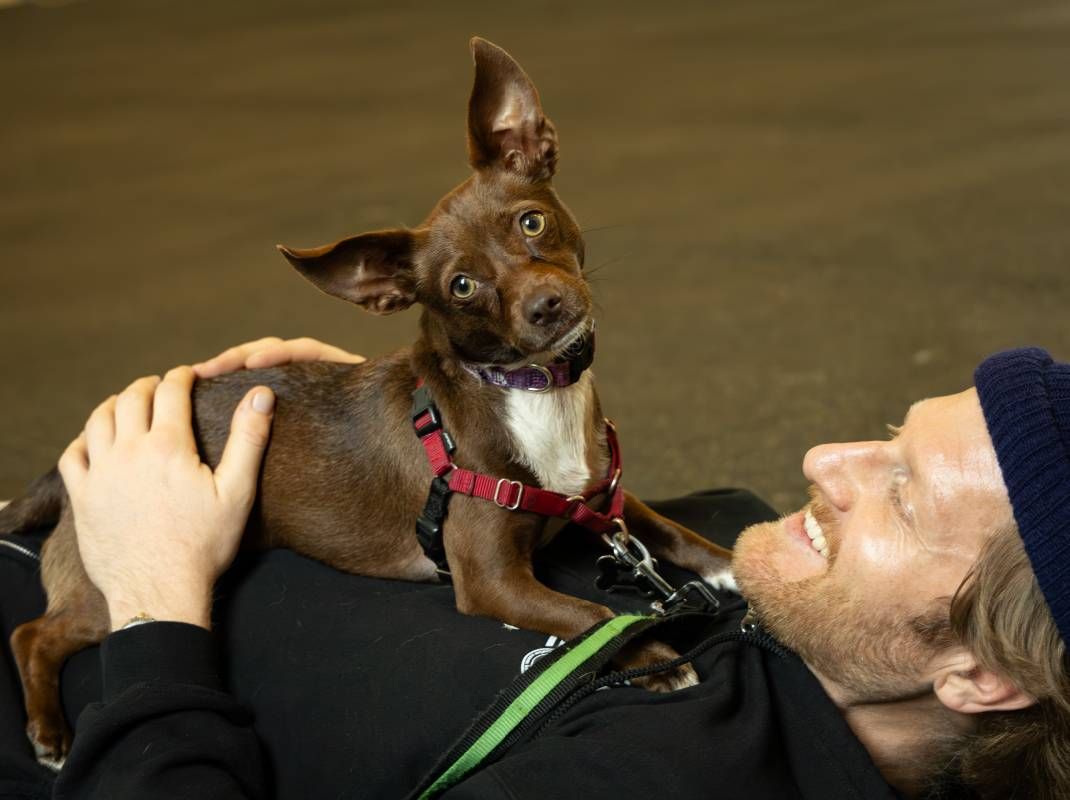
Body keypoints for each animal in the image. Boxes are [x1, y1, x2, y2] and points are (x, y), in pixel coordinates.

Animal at [0, 35, 736, 761]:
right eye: (461, 287)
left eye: (532, 222)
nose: (546, 306)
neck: (527, 392)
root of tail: (65, 461)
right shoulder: (493, 582)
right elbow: (595, 617)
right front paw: (657, 655)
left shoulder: (602, 499)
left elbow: (671, 532)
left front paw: (735, 568)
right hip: (101, 595)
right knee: (30, 634)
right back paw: (48, 732)